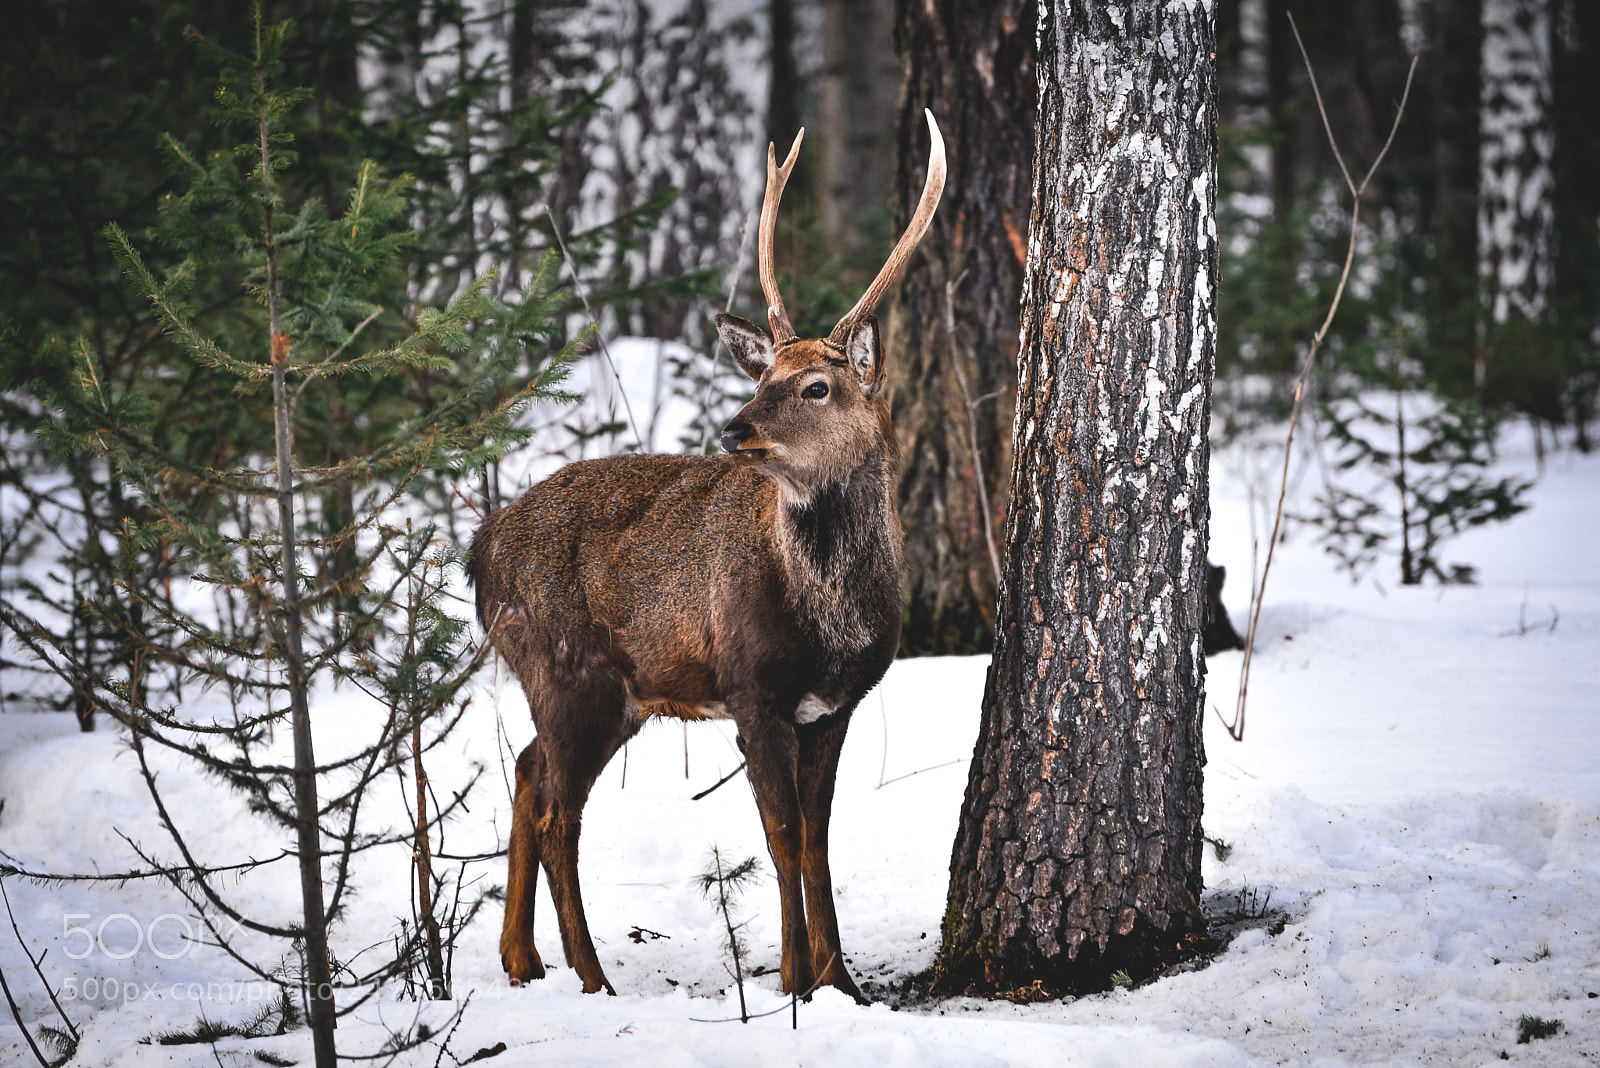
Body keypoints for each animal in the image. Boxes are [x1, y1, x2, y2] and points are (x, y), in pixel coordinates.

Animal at [468, 111, 946, 1004]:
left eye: (817, 387)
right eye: (765, 378)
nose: (733, 429)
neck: (831, 621)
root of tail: (478, 552)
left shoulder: (836, 705)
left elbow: (818, 839)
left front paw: (841, 982)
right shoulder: (752, 689)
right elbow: (782, 836)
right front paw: (796, 982)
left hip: (598, 689)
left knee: (525, 772)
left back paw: (522, 961)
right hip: (569, 668)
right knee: (556, 813)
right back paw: (591, 977)